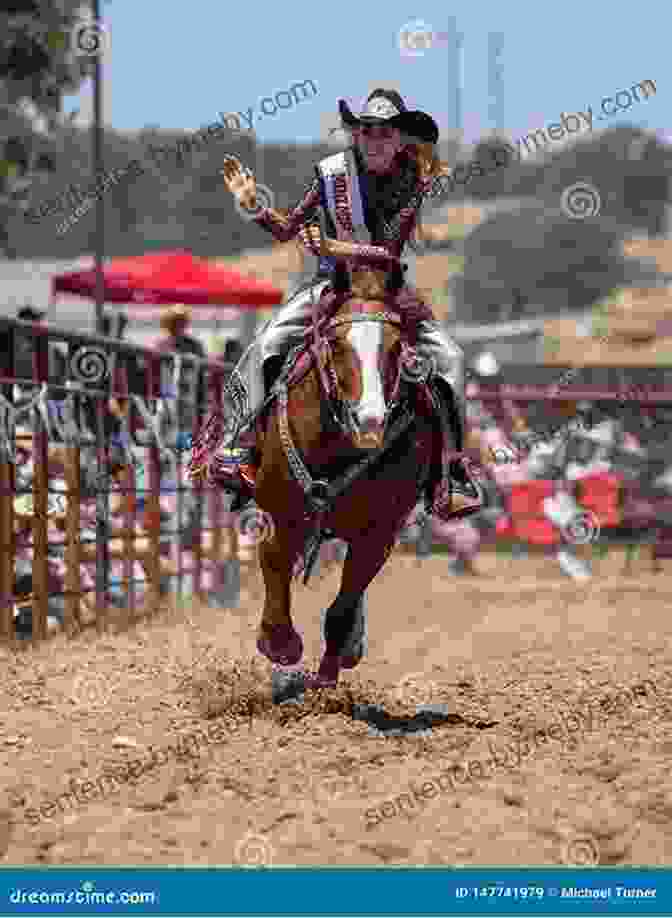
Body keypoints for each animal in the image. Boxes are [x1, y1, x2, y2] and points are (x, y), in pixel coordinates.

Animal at [247, 274, 446, 688]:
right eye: (336, 343)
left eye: (396, 347)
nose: (368, 420)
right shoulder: (278, 509)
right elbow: (274, 564)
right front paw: (279, 642)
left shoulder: (379, 533)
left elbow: (345, 603)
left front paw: (329, 670)